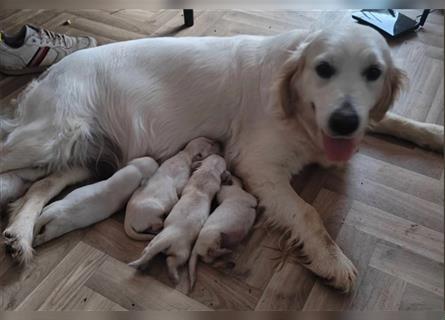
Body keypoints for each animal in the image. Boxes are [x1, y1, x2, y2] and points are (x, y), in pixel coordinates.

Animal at [127, 155, 225, 284]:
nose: (221, 155)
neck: (208, 171)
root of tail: (166, 240)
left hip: (154, 240)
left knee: (147, 251)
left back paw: (143, 265)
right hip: (182, 253)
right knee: (171, 261)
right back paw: (174, 276)